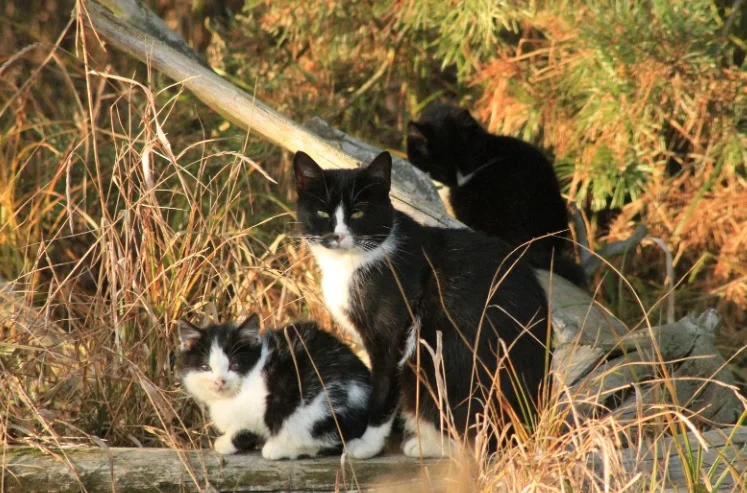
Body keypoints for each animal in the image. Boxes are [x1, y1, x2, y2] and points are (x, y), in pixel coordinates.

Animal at [178, 314, 372, 460]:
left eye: (234, 365)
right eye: (205, 367)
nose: (220, 381)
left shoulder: (259, 409)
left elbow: (246, 428)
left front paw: (226, 442)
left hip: (314, 407)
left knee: (330, 440)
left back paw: (278, 448)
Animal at [296, 150, 552, 458]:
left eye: (358, 213)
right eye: (322, 213)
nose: (338, 236)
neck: (353, 262)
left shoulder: (392, 334)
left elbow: (383, 388)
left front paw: (368, 445)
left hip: (437, 352)